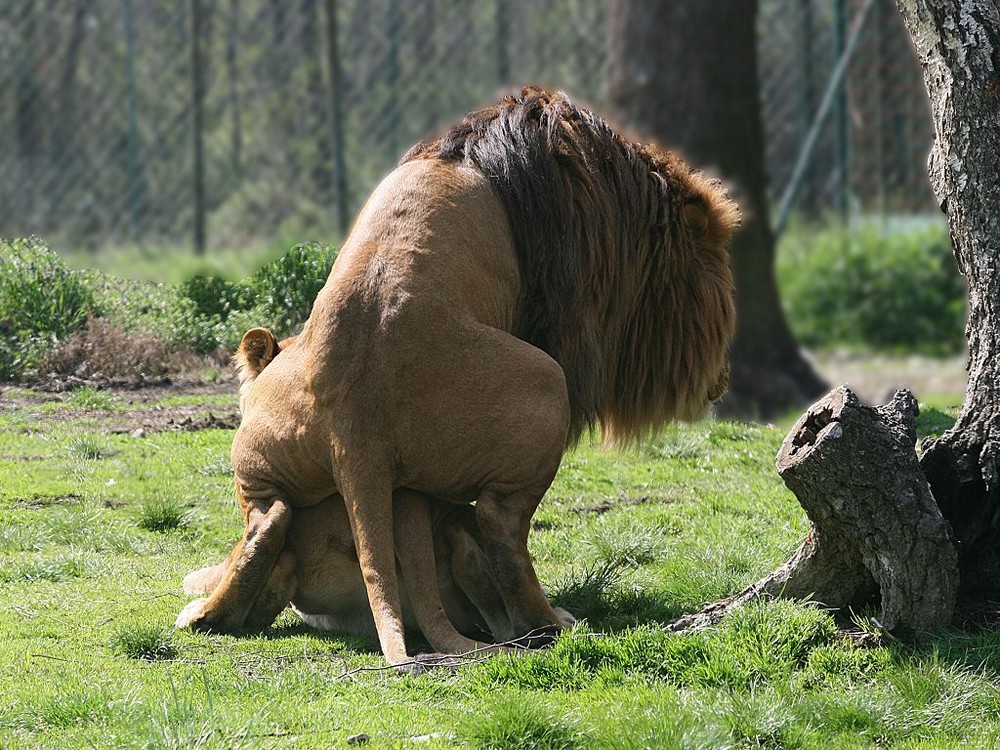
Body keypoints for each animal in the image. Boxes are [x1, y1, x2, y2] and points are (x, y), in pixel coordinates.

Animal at [176, 88, 740, 668]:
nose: (724, 375)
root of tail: (357, 421)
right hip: (547, 381)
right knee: (500, 523)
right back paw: (547, 621)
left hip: (258, 444)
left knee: (266, 521)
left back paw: (207, 616)